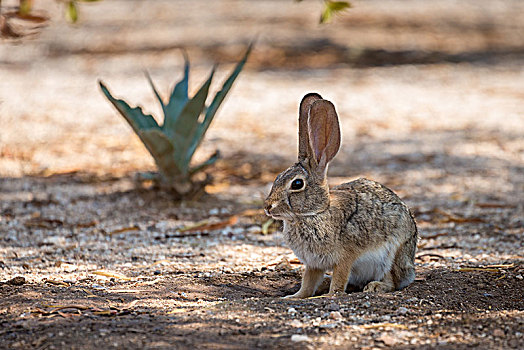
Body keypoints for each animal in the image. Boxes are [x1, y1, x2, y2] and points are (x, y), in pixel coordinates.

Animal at [266, 92, 418, 298]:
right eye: (277, 178)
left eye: (297, 184)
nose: (268, 206)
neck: (315, 213)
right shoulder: (314, 263)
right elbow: (308, 281)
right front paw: (295, 296)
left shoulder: (346, 256)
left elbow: (340, 277)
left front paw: (331, 295)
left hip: (392, 255)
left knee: (392, 281)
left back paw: (375, 286)